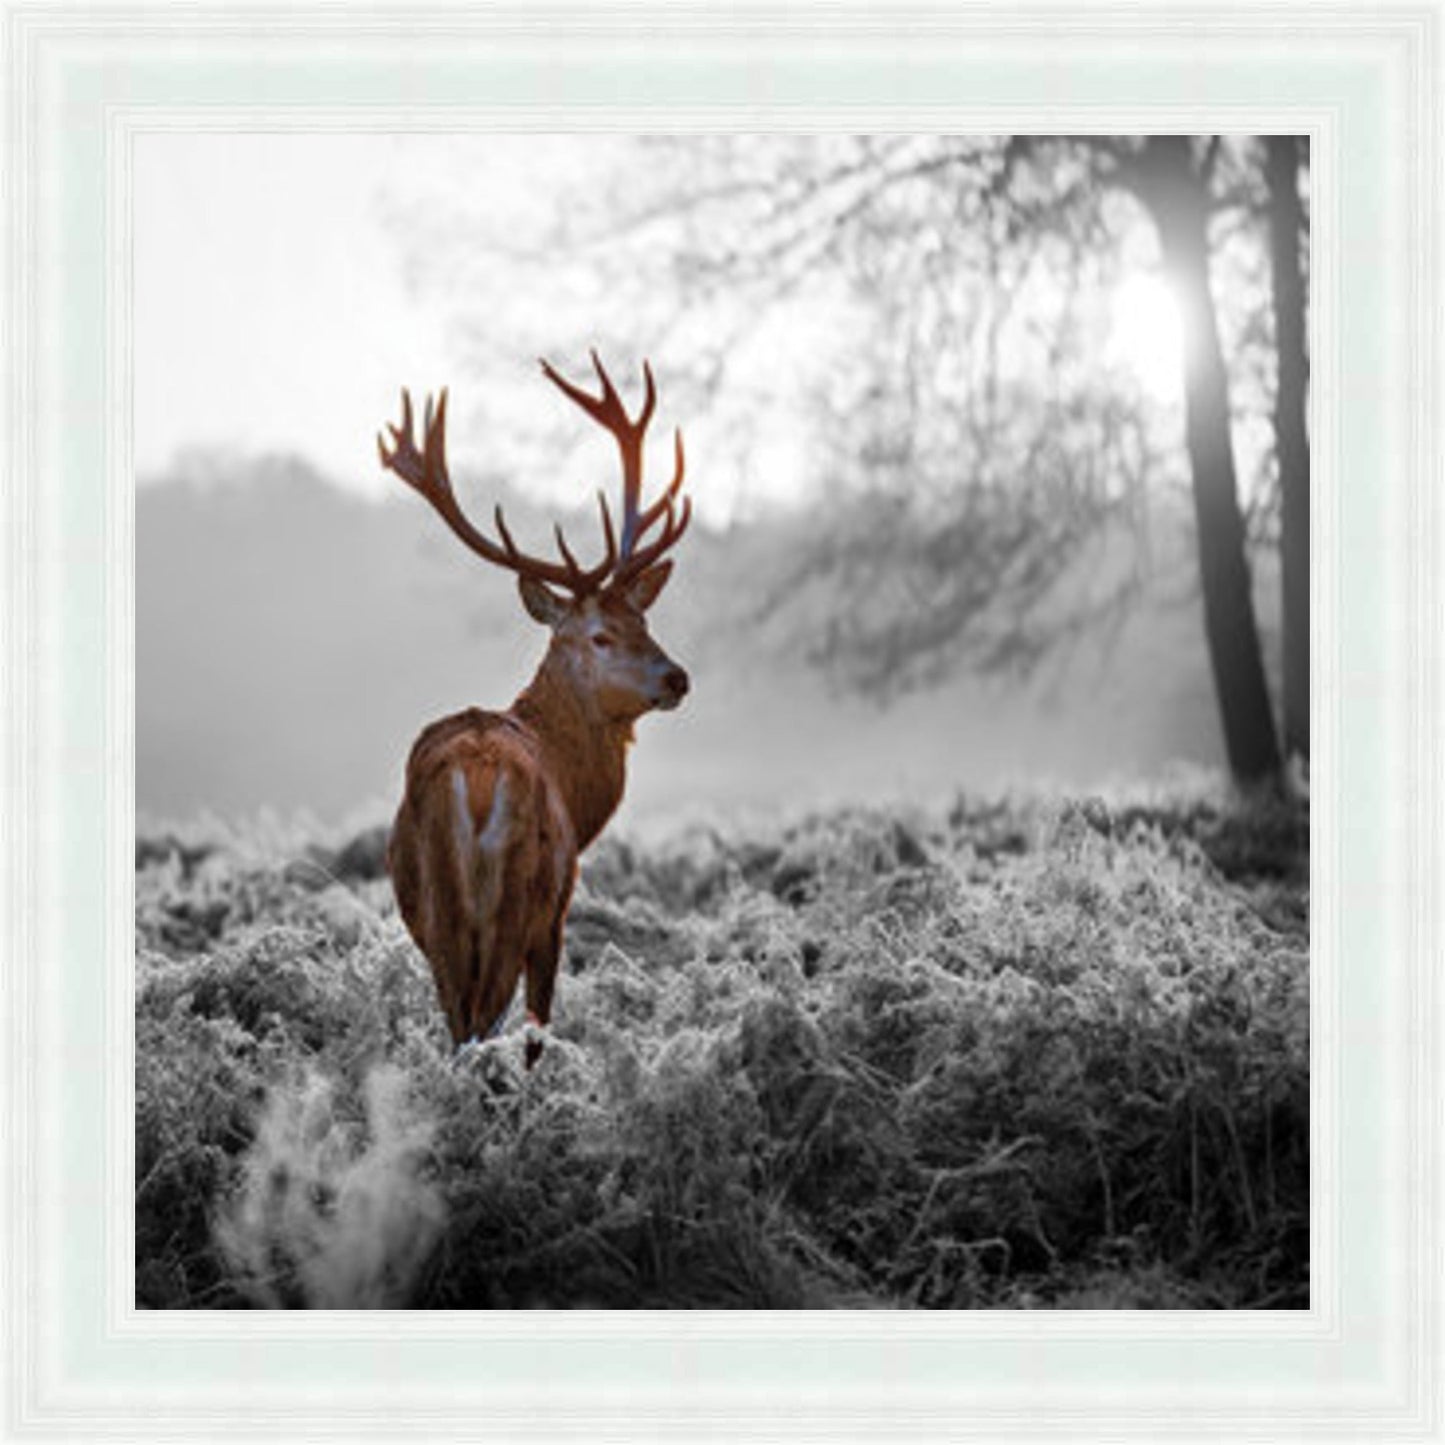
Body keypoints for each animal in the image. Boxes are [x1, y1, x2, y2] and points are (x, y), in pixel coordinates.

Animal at [377, 353, 691, 1069]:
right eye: (600, 635)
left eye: (645, 619)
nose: (677, 677)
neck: (577, 792)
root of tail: (476, 779)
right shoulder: (559, 910)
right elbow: (538, 1025)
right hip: (518, 901)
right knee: (487, 1029)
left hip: (438, 911)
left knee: (459, 1028)